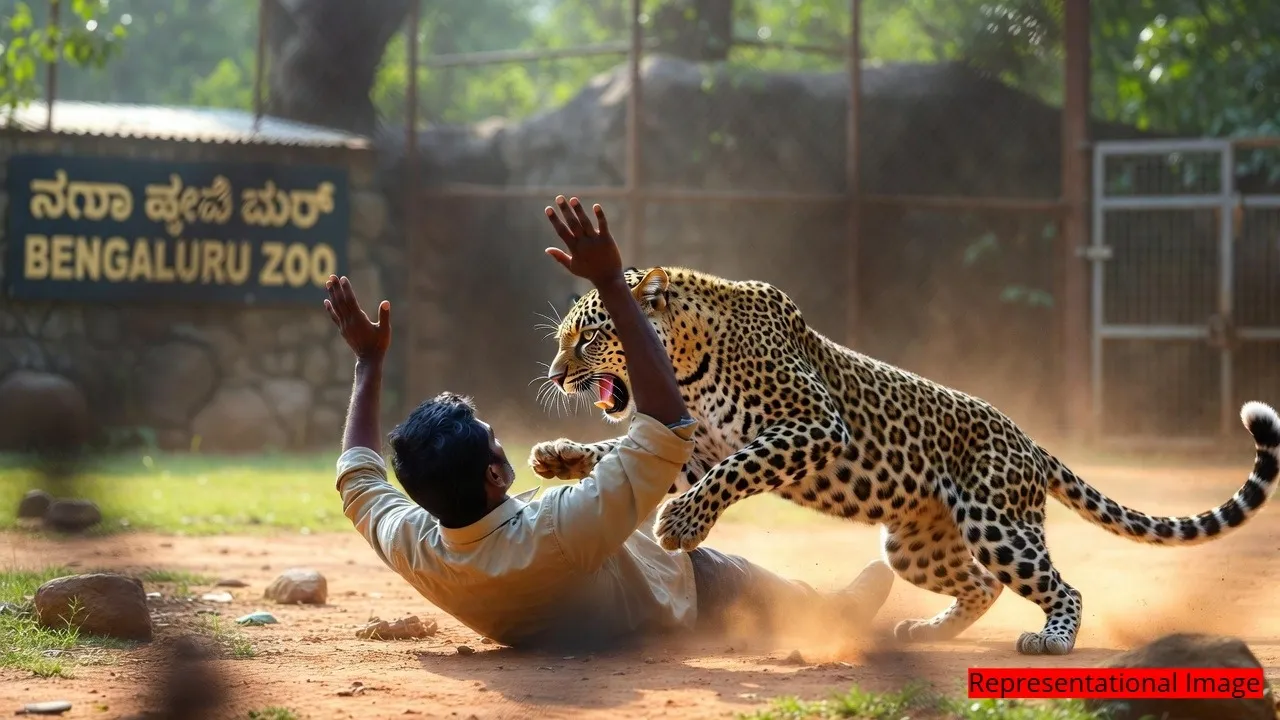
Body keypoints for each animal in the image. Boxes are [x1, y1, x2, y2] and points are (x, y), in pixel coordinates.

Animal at [530, 265, 1280, 656]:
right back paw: (925, 631)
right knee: (980, 585)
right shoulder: (704, 445)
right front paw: (559, 456)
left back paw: (1053, 639)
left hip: (995, 521)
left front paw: (681, 526)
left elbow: (734, 472)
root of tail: (1029, 441)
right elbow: (635, 457)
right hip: (914, 544)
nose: (557, 375)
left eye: (587, 338)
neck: (688, 357)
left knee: (1059, 586)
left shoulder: (813, 425)